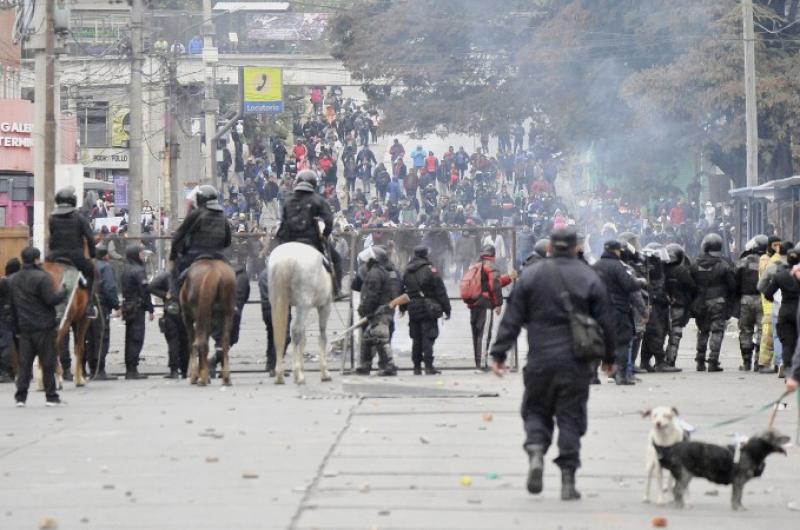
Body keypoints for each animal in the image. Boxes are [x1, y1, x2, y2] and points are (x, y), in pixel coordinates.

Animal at [184, 256, 238, 384]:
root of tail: (214, 271)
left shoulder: (187, 318)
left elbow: (192, 344)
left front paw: (195, 375)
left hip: (200, 315)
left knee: (200, 342)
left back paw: (202, 378)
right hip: (227, 313)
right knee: (224, 342)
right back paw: (226, 377)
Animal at [268, 240, 332, 384]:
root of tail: (285, 259)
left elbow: (303, 339)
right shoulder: (324, 306)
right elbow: (322, 336)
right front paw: (324, 372)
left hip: (277, 301)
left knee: (281, 333)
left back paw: (280, 375)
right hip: (305, 304)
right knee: (296, 330)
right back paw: (297, 375)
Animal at [656, 424, 788, 508]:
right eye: (778, 436)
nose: (789, 437)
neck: (752, 451)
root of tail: (671, 449)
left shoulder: (738, 482)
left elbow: (737, 496)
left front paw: (737, 506)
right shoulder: (738, 480)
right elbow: (737, 496)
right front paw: (738, 507)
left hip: (685, 476)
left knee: (676, 490)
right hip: (685, 475)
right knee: (677, 490)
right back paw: (680, 505)